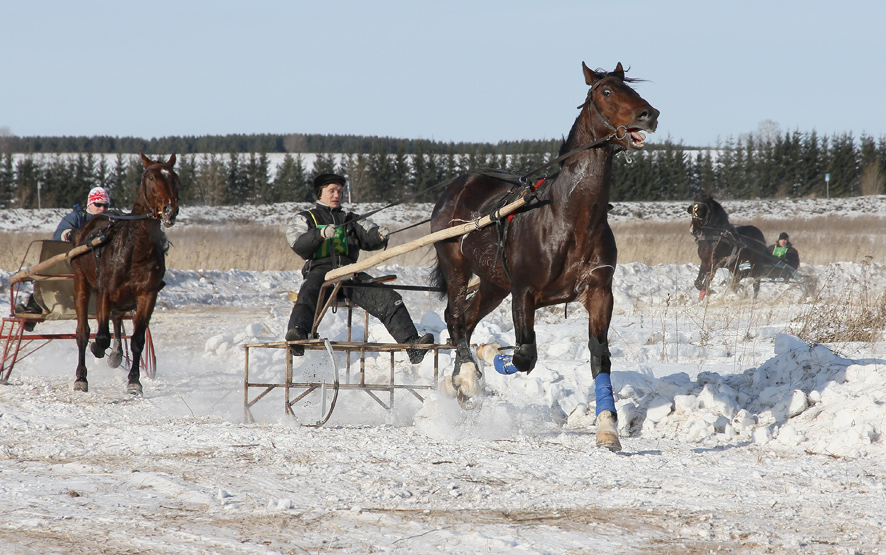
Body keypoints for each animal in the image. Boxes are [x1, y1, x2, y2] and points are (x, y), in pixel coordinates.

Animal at [72, 153, 180, 396]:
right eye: (151, 177)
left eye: (175, 177)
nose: (170, 210)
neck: (136, 249)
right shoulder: (104, 290)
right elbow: (101, 337)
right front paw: (98, 347)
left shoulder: (147, 294)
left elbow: (138, 340)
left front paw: (134, 381)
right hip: (81, 281)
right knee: (83, 331)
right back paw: (81, 376)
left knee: (117, 318)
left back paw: (116, 354)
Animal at [430, 62, 660, 452]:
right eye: (606, 92)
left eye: (632, 88)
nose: (650, 114)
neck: (569, 217)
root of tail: (456, 187)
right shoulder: (523, 292)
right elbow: (524, 355)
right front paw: (492, 356)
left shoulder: (600, 292)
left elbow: (599, 356)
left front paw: (607, 429)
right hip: (457, 267)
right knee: (455, 317)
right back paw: (467, 378)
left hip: (493, 282)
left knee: (468, 318)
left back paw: (463, 377)